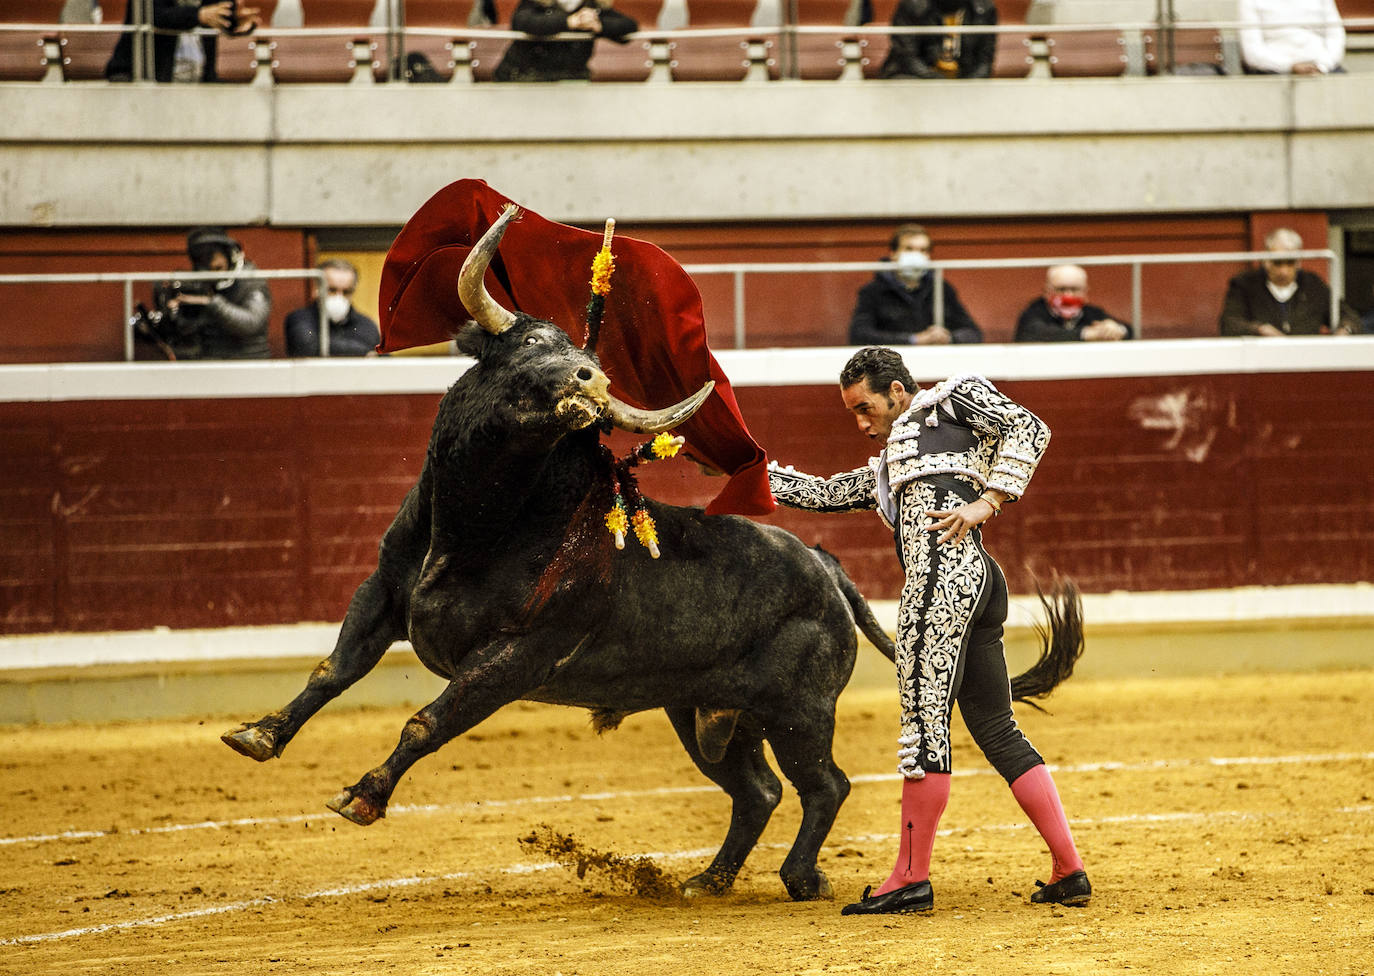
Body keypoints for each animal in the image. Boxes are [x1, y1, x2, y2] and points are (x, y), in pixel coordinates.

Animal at [222, 210, 1082, 907]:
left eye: (583, 359)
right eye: (527, 346)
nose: (588, 377)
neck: (477, 525)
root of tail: (823, 565)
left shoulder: (518, 655)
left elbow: (425, 720)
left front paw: (362, 796)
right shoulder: (383, 592)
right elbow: (332, 669)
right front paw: (259, 736)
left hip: (798, 709)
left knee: (824, 784)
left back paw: (803, 878)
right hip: (700, 711)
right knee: (757, 791)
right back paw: (711, 878)